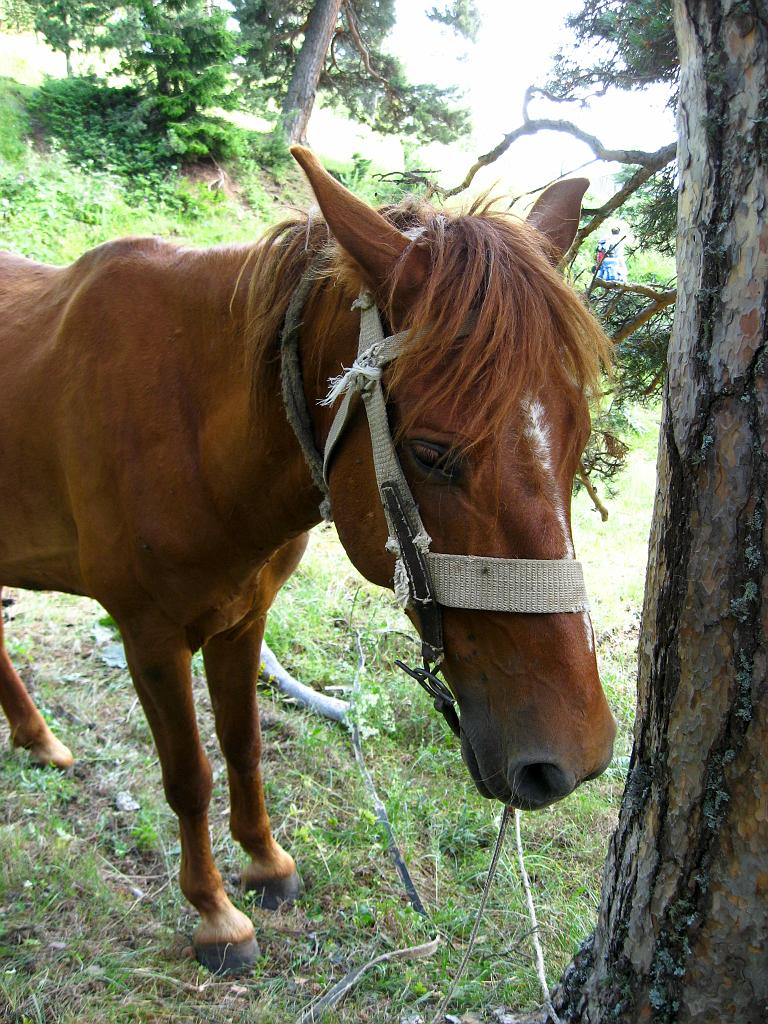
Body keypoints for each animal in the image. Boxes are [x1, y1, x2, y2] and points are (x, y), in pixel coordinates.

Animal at [0, 148, 614, 970]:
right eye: (432, 453)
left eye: (578, 441)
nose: (579, 756)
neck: (193, 429)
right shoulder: (149, 636)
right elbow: (189, 775)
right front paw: (215, 913)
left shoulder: (242, 619)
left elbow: (244, 746)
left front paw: (265, 864)